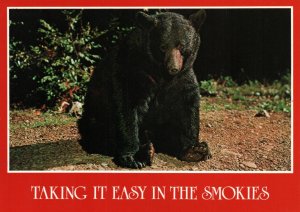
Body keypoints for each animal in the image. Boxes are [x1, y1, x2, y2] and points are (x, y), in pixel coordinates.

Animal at [78, 9, 212, 169]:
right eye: (163, 47)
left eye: (181, 46)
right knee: (100, 132)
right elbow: (127, 107)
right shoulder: (132, 69)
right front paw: (132, 158)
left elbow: (187, 107)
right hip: (94, 117)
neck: (161, 74)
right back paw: (146, 150)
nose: (173, 68)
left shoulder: (183, 78)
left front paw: (193, 149)